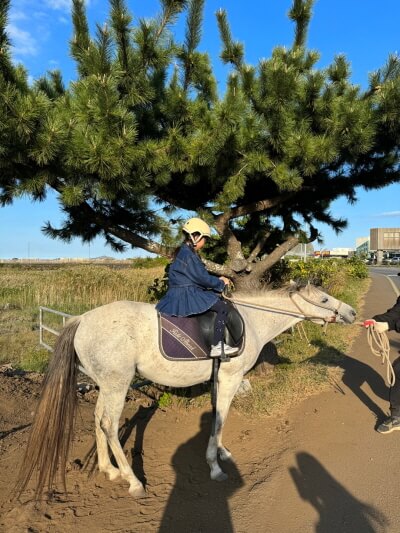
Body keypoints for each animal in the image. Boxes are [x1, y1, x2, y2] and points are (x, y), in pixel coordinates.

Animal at [15, 284, 356, 496]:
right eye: (324, 300)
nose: (351, 313)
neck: (252, 320)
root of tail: (82, 320)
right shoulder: (230, 378)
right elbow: (220, 418)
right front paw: (215, 466)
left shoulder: (220, 379)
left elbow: (218, 417)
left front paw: (221, 452)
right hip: (117, 384)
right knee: (109, 424)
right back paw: (132, 480)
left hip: (106, 385)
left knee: (98, 421)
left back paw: (108, 469)